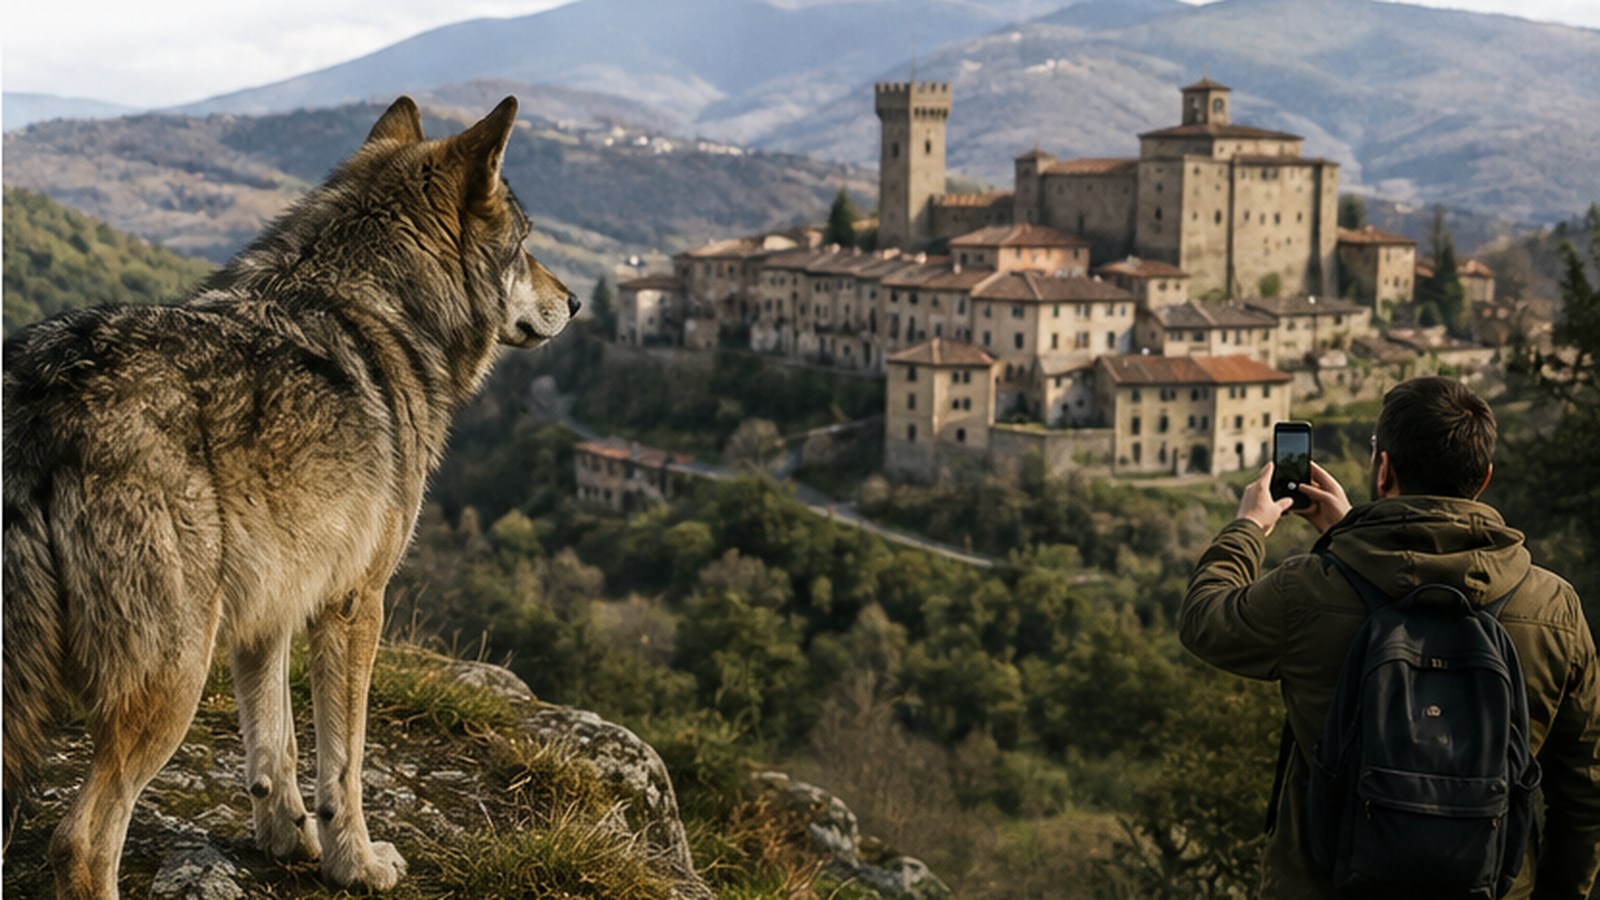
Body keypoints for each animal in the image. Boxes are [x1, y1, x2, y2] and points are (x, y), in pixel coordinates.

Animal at [3, 96, 577, 898]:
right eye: (524, 244)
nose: (577, 301)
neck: (376, 308)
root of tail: (43, 391)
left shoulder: (273, 600)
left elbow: (274, 744)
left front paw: (287, 839)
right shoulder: (354, 602)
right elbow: (345, 763)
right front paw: (357, 863)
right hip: (172, 680)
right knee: (82, 841)